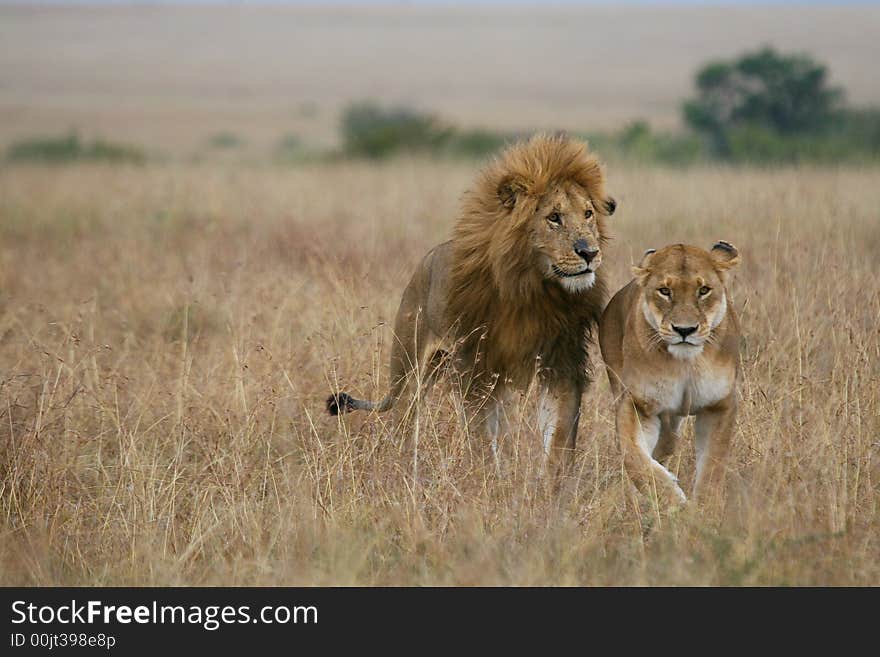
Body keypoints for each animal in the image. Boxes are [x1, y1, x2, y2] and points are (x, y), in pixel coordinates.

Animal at [330, 133, 620, 474]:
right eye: (554, 218)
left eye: (588, 214)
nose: (589, 253)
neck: (535, 290)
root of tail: (423, 264)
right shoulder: (477, 367)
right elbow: (481, 438)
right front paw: (491, 478)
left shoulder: (560, 363)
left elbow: (559, 437)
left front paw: (553, 482)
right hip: (409, 370)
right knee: (404, 425)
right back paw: (404, 472)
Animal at [600, 241, 740, 502]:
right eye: (664, 291)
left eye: (704, 290)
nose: (684, 330)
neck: (685, 363)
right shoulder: (637, 403)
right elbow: (635, 458)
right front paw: (672, 500)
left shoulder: (719, 405)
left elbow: (713, 466)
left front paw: (704, 508)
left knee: (667, 442)